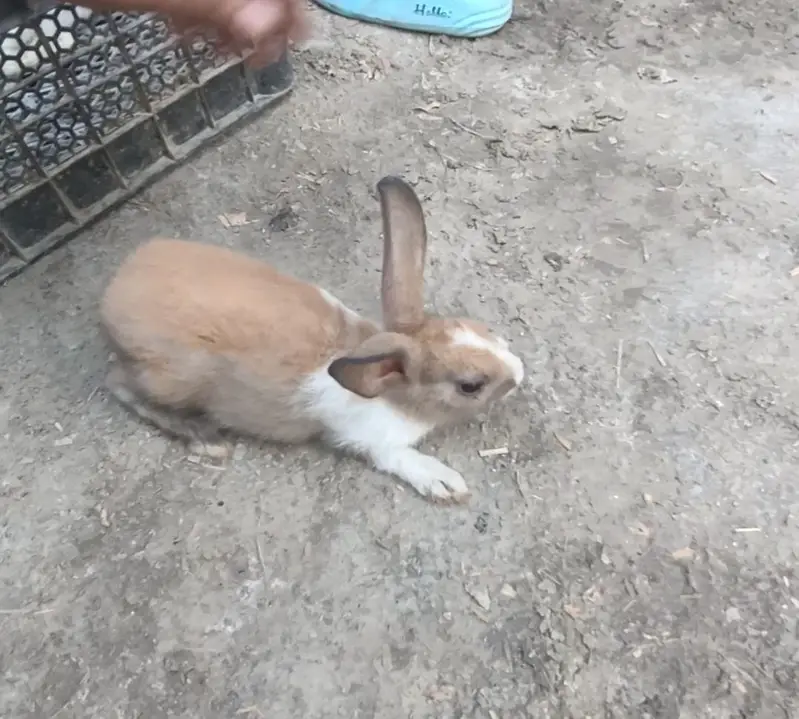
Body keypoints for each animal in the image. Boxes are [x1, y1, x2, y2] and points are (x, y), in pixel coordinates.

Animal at [99, 176, 524, 503]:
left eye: (484, 329)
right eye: (470, 386)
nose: (519, 374)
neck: (395, 396)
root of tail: (112, 293)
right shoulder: (370, 441)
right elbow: (397, 458)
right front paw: (445, 483)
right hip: (173, 380)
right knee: (118, 384)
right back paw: (205, 439)